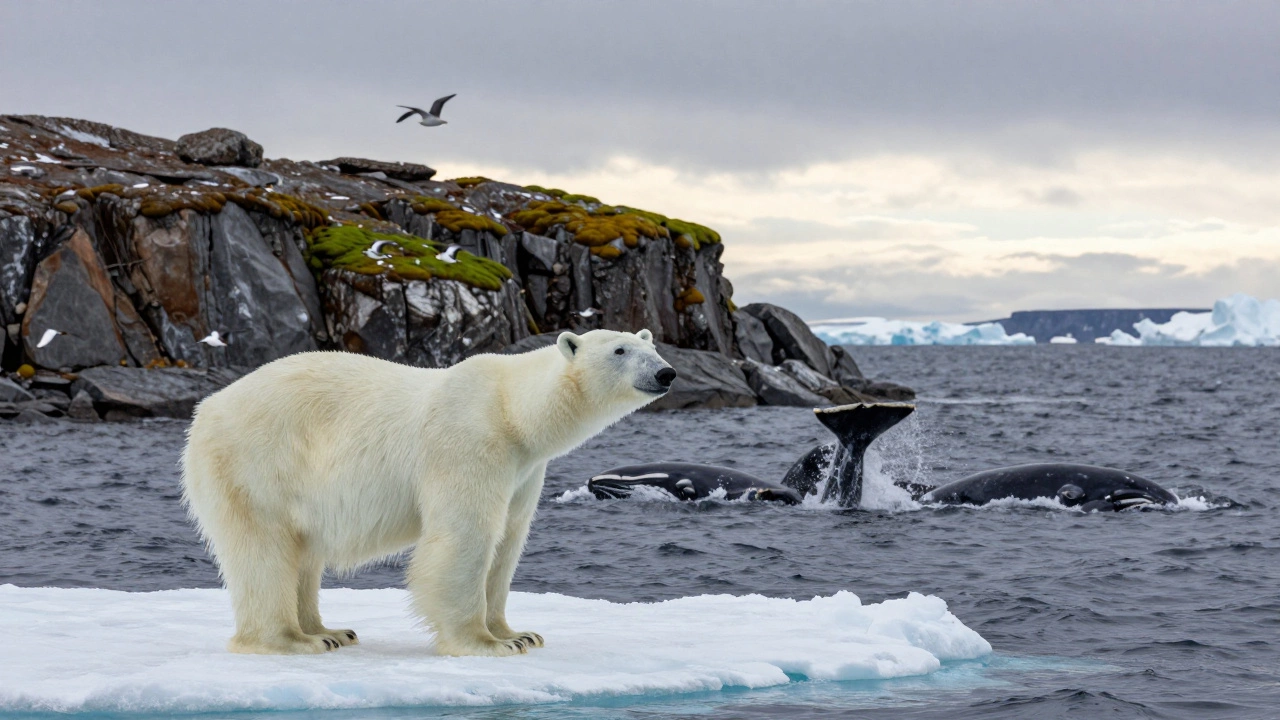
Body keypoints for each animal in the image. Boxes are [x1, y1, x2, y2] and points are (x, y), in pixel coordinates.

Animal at [181, 329, 675, 656]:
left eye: (652, 347)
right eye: (620, 350)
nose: (666, 373)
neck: (512, 410)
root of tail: (206, 409)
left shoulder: (524, 469)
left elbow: (508, 541)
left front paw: (518, 634)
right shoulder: (469, 442)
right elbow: (465, 536)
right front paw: (484, 643)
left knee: (302, 553)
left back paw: (332, 631)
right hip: (257, 462)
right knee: (264, 549)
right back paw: (294, 639)